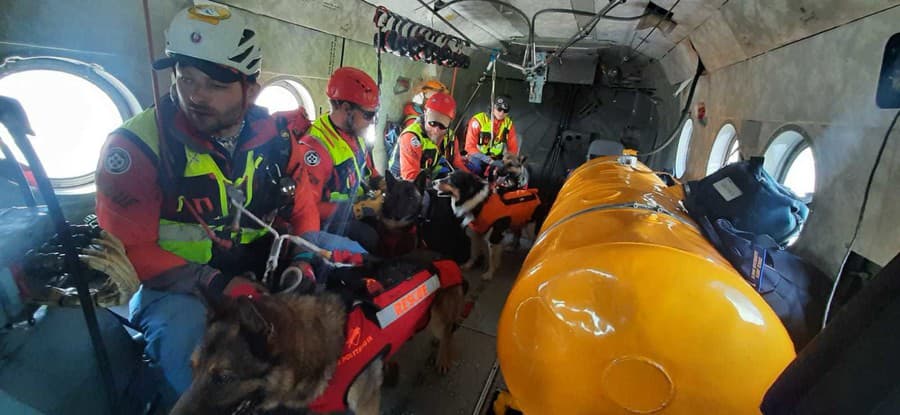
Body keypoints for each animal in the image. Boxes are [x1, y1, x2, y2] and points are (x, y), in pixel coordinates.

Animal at [171, 250, 464, 415]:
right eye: (192, 368)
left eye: (223, 378)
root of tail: (434, 253)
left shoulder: (366, 407)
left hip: (438, 318)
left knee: (448, 332)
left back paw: (443, 356)